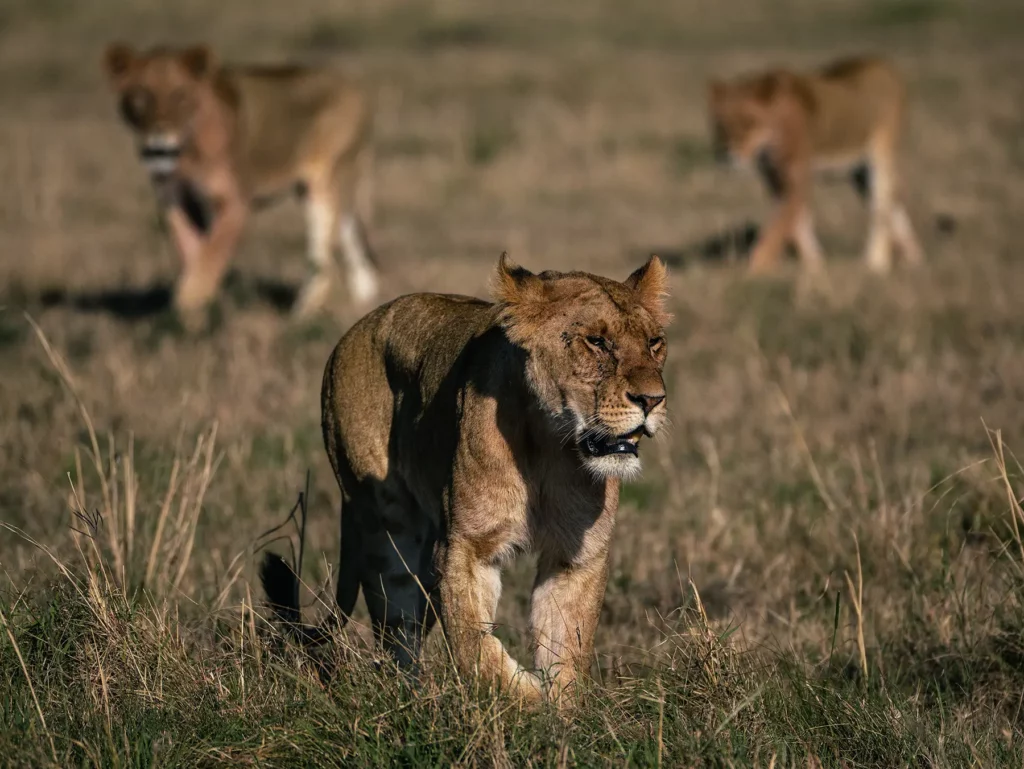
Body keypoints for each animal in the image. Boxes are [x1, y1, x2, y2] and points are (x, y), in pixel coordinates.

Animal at [102, 43, 379, 317]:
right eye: (140, 98)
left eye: (180, 96)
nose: (158, 147)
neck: (188, 154)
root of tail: (350, 83)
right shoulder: (175, 201)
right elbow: (192, 251)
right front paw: (198, 305)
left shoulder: (235, 203)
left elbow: (211, 253)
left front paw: (188, 304)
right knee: (349, 233)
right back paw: (365, 295)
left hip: (325, 183)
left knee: (322, 257)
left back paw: (303, 312)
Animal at [261, 253, 671, 704]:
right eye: (596, 341)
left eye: (655, 343)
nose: (653, 400)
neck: (550, 448)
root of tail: (354, 331)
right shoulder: (466, 547)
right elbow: (475, 647)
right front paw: (526, 698)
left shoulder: (576, 557)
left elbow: (566, 647)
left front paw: (560, 712)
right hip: (385, 525)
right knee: (395, 628)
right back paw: (414, 699)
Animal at [708, 56, 924, 273]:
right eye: (721, 125)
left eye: (749, 122)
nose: (726, 155)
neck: (768, 148)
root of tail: (883, 64)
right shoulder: (774, 179)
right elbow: (797, 224)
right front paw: (814, 264)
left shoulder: (798, 176)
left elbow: (782, 223)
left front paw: (758, 265)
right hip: (859, 175)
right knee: (895, 209)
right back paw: (914, 258)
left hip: (881, 158)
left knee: (881, 210)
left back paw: (876, 263)